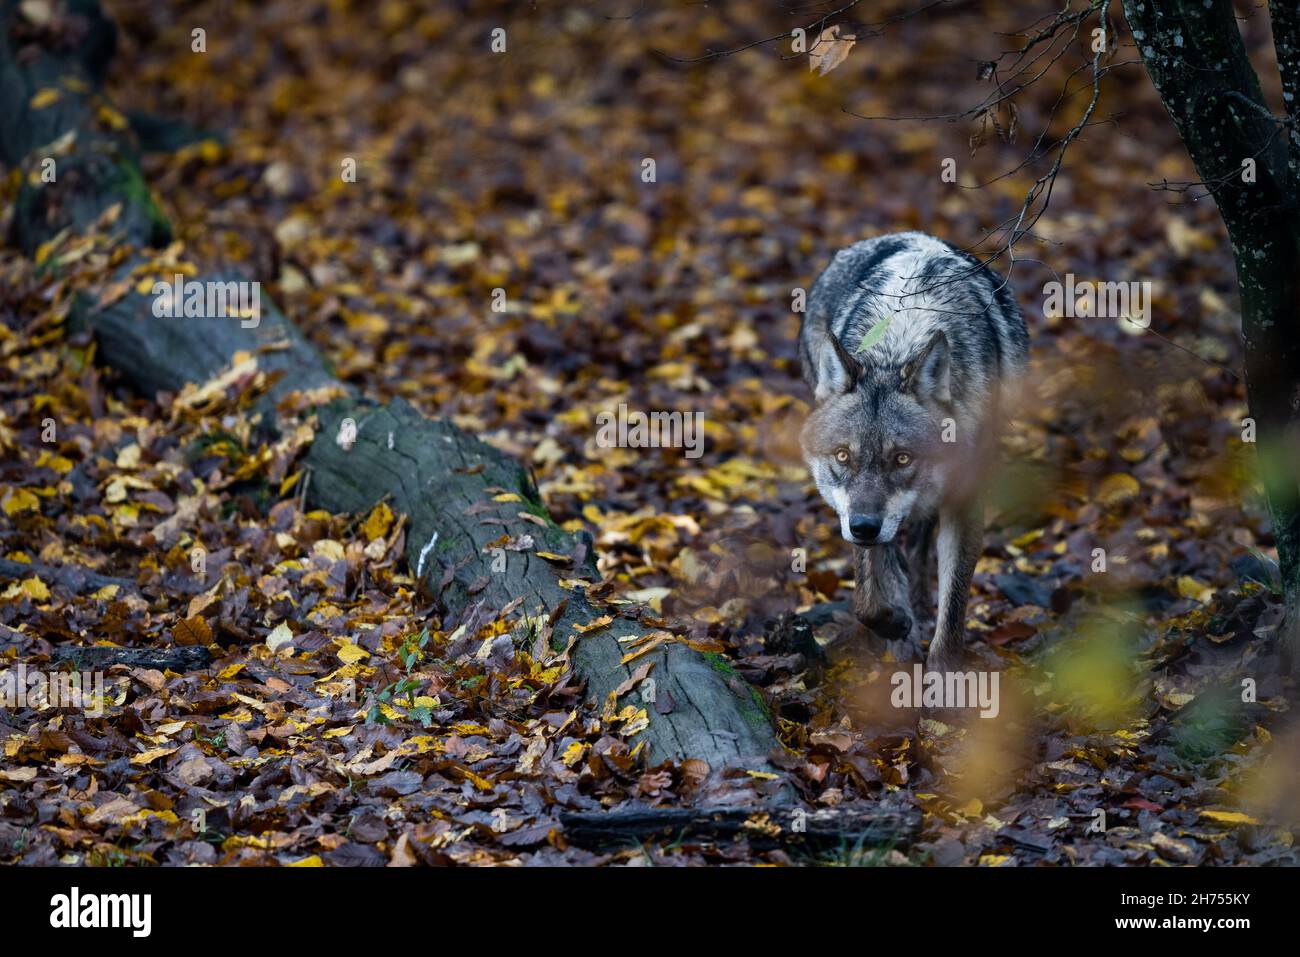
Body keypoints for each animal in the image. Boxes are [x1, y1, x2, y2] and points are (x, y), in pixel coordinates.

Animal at [798, 232, 1028, 673]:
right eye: (842, 456)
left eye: (903, 458)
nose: (864, 527)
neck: (899, 343)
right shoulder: (853, 512)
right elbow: (867, 600)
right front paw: (895, 623)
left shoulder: (964, 501)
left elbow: (953, 608)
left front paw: (942, 678)